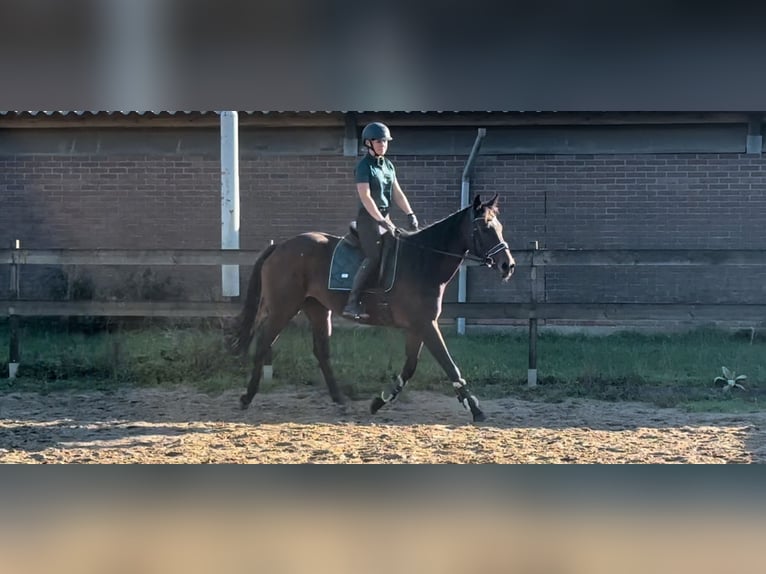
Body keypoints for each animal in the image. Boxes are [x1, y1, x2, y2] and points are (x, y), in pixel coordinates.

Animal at [228, 194, 516, 424]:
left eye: (500, 226)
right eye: (485, 227)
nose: (508, 265)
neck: (423, 260)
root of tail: (281, 246)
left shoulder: (418, 327)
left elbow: (409, 368)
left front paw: (379, 401)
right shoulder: (426, 325)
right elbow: (449, 365)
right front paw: (475, 408)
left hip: (317, 309)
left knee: (321, 352)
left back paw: (340, 401)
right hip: (283, 307)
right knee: (263, 344)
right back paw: (246, 397)